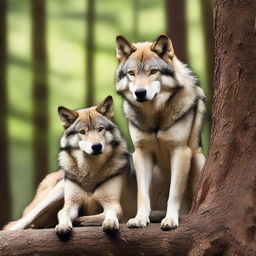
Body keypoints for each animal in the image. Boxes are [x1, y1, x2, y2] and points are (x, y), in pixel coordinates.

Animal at [115, 33, 207, 230]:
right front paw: (140, 219)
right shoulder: (141, 153)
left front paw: (171, 219)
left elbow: (174, 193)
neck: (155, 118)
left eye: (153, 71)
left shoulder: (180, 152)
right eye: (132, 73)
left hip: (198, 159)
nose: (140, 92)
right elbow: (142, 195)